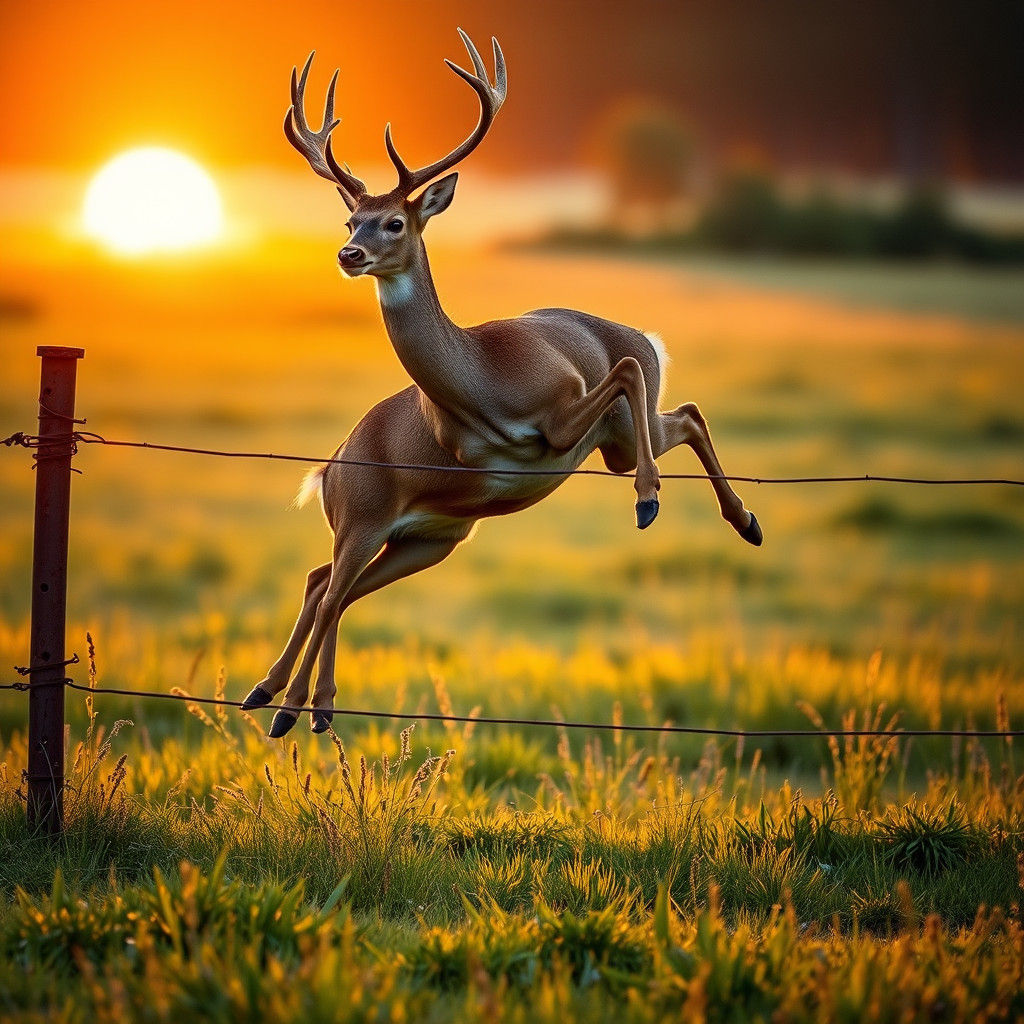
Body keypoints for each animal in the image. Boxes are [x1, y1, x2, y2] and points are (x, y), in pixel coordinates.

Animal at [242, 29, 763, 738]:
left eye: (395, 222)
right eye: (350, 223)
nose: (349, 255)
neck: (481, 381)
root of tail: (329, 469)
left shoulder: (561, 414)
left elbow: (619, 378)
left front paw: (650, 502)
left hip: (469, 513)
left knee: (673, 404)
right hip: (385, 522)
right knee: (327, 585)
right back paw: (286, 702)